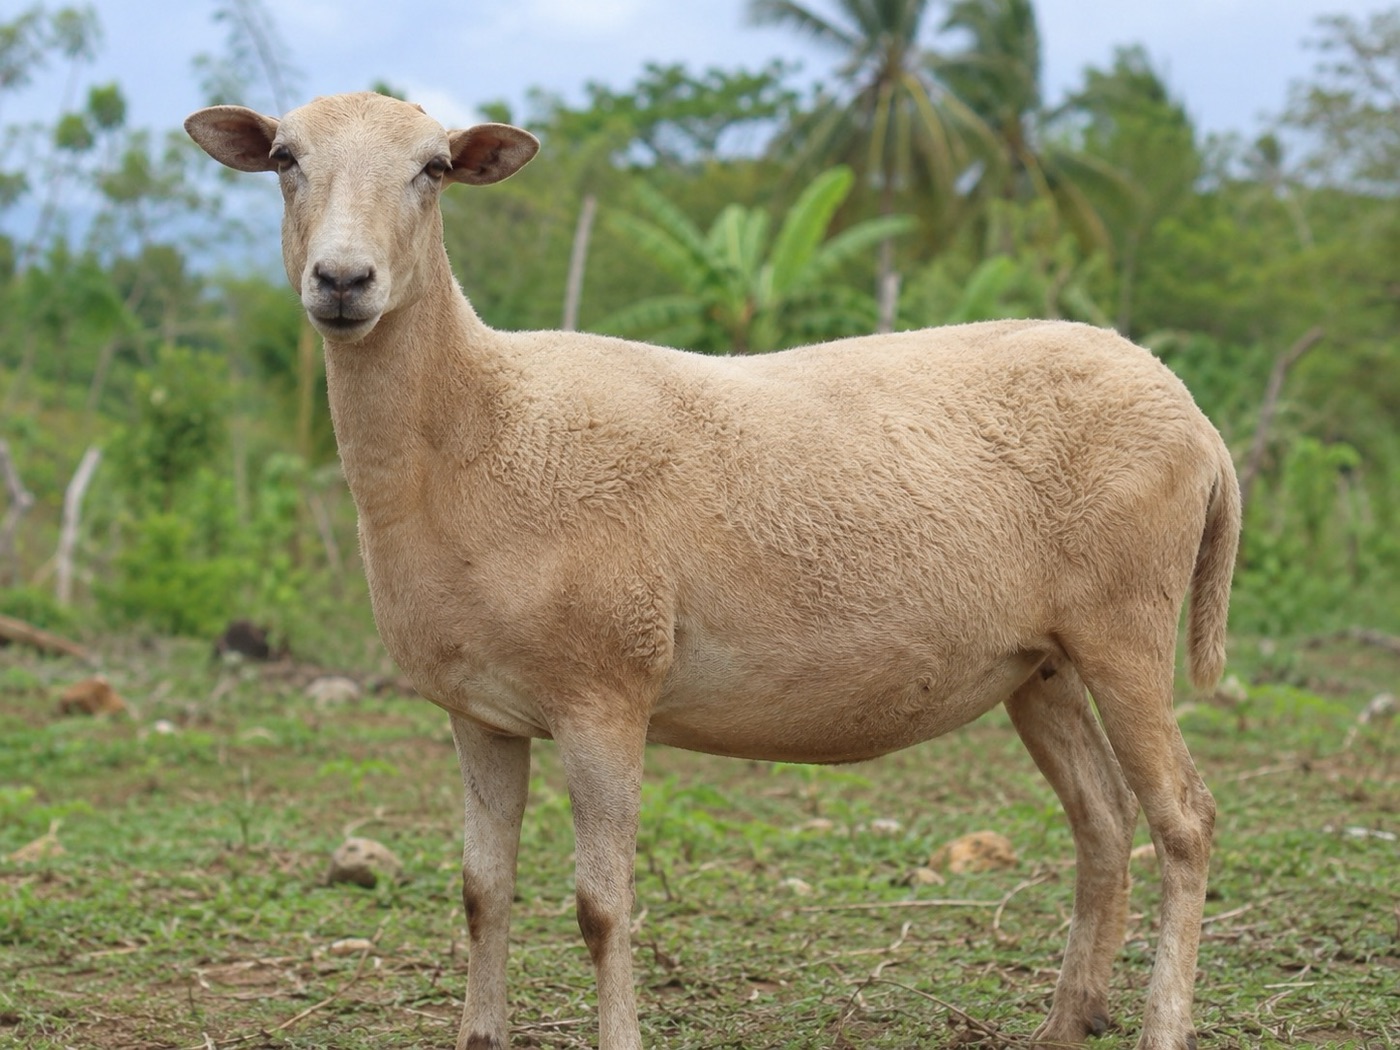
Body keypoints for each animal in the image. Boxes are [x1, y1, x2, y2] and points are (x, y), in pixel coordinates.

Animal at [185, 91, 1240, 1050]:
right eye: (285, 158)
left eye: (434, 169)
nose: (343, 279)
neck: (481, 428)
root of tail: (1196, 416)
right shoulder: (479, 709)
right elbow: (483, 892)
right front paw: (479, 1035)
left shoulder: (606, 690)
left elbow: (600, 906)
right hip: (1041, 660)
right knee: (1102, 821)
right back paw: (1068, 1020)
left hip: (1126, 625)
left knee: (1184, 820)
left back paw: (1162, 1025)